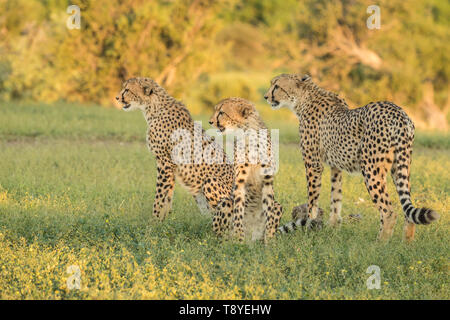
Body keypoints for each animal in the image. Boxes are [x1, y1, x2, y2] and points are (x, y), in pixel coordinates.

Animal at [114, 79, 234, 221]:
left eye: (127, 90)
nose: (117, 98)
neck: (153, 107)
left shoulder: (164, 162)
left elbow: (160, 194)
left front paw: (154, 220)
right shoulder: (170, 166)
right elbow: (168, 194)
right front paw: (164, 219)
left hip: (210, 182)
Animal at [208, 98, 284, 242]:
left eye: (222, 112)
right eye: (215, 110)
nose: (210, 121)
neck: (248, 134)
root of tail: (251, 238)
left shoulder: (267, 182)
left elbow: (269, 213)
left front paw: (270, 240)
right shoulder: (240, 182)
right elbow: (238, 210)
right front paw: (239, 238)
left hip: (278, 205)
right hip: (226, 202)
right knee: (220, 234)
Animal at [264, 74, 440, 241]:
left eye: (277, 86)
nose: (266, 97)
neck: (304, 97)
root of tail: (398, 112)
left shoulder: (313, 164)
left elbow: (312, 201)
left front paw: (308, 228)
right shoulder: (335, 166)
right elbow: (336, 197)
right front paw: (332, 227)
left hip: (370, 168)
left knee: (389, 212)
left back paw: (379, 245)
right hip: (401, 165)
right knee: (407, 207)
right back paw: (406, 245)